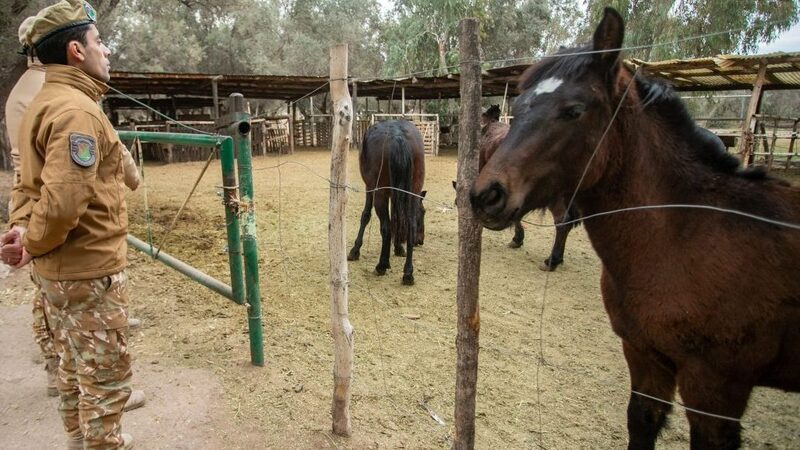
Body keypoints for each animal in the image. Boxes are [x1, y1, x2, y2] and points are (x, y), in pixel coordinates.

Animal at [348, 120, 426, 285]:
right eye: (423, 213)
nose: (421, 240)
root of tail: (397, 134)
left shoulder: (370, 188)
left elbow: (365, 216)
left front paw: (355, 250)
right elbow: (398, 220)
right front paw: (398, 248)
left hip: (380, 194)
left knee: (385, 227)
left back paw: (382, 265)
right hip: (412, 193)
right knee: (408, 226)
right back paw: (408, 273)